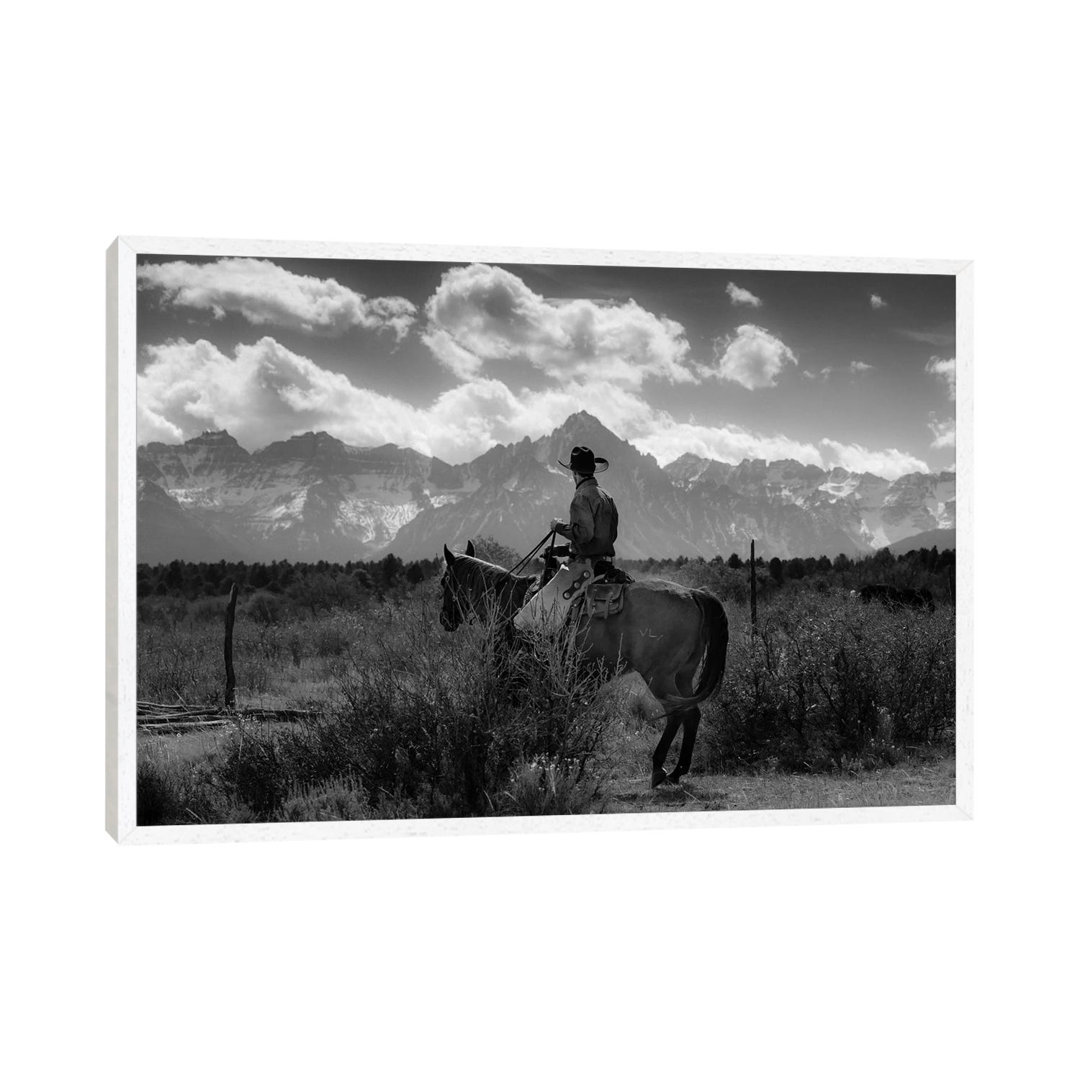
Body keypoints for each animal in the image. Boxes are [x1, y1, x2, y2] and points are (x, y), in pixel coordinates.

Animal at [436, 540, 725, 786]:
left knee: (677, 714)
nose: (445, 620)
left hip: (659, 676)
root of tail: (692, 593)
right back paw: (678, 771)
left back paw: (658, 768)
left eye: (443, 582)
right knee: (692, 714)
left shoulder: (516, 676)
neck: (508, 602)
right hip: (683, 675)